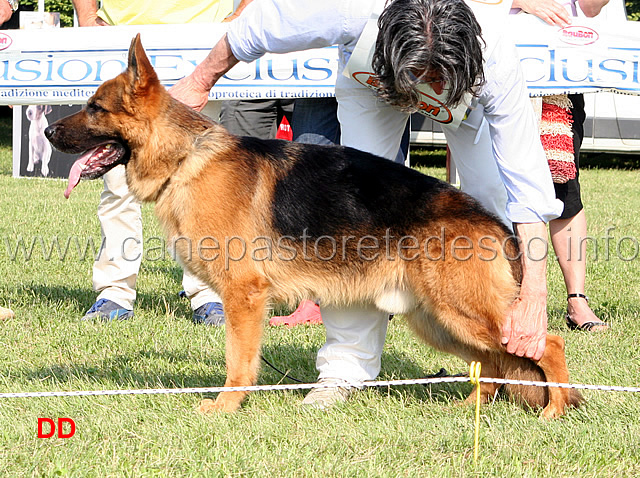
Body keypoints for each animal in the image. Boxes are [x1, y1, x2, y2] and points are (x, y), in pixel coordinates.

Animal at [46, 35, 580, 416]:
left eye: (95, 108)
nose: (49, 130)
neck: (184, 159)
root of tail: (496, 224)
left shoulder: (244, 296)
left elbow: (238, 361)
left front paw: (225, 406)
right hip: (436, 319)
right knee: (491, 364)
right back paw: (470, 408)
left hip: (462, 311)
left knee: (545, 345)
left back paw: (554, 411)